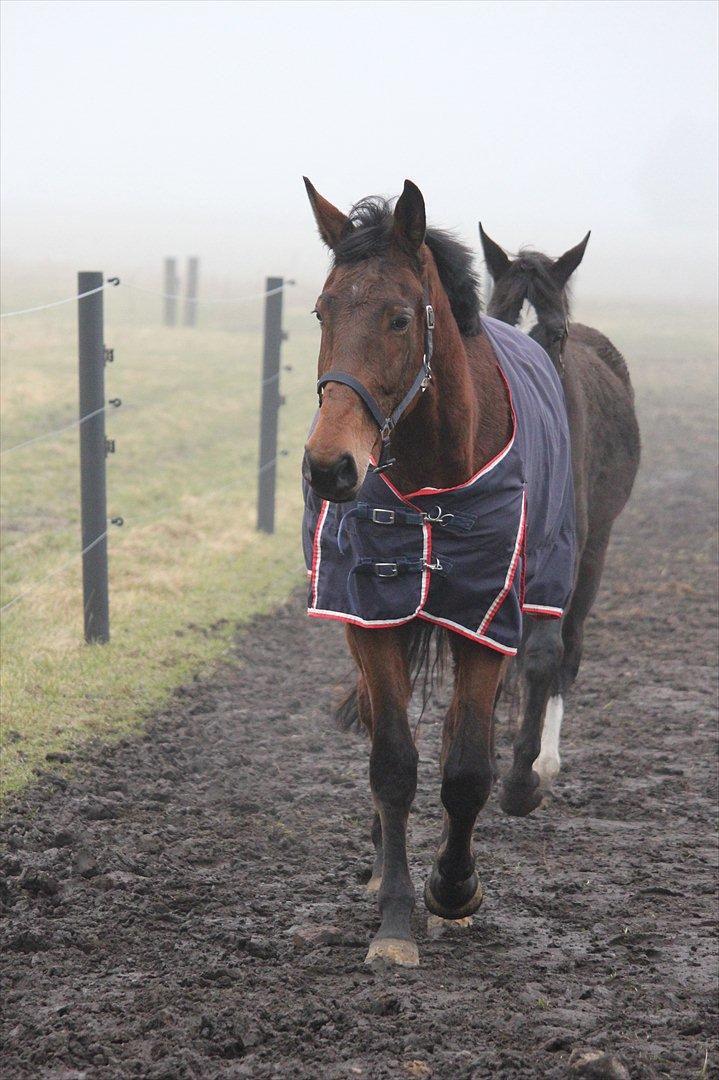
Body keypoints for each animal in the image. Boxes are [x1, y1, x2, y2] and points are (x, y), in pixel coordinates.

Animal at [300, 179, 634, 972]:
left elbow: (467, 769)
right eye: (322, 311)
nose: (329, 467)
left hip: (580, 557)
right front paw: (394, 917)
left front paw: (454, 886)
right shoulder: (372, 614)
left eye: (398, 317)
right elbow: (392, 760)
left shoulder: (488, 611)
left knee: (551, 661)